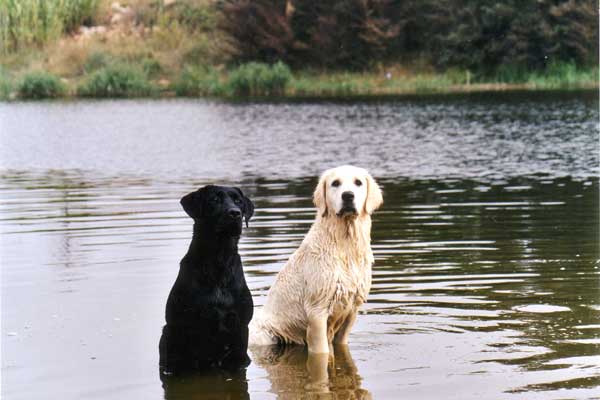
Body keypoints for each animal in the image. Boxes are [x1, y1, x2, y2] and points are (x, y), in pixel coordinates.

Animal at [159, 186, 253, 374]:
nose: (235, 213)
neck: (219, 261)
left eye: (238, 201)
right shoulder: (181, 328)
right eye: (214, 200)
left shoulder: (241, 327)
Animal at [250, 166, 382, 354]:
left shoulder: (352, 310)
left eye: (358, 182)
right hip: (265, 335)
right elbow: (321, 351)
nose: (348, 195)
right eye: (335, 183)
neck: (345, 244)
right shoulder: (317, 310)